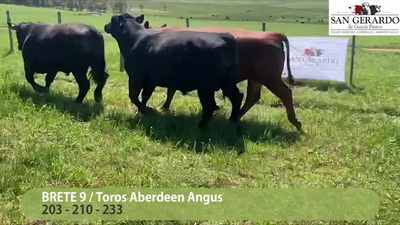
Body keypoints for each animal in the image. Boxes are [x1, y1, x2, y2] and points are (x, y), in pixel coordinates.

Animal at [104, 14, 244, 129]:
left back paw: (202, 124)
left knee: (210, 105)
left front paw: (146, 110)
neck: (135, 38)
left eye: (112, 20)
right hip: (227, 82)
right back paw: (232, 120)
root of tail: (225, 36)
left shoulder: (136, 77)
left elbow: (133, 96)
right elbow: (145, 95)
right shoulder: (151, 80)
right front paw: (143, 111)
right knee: (237, 96)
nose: (106, 25)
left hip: (206, 87)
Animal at [142, 21, 302, 131]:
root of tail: (272, 34)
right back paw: (235, 117)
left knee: (285, 93)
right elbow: (171, 91)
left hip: (269, 77)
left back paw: (295, 122)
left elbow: (170, 90)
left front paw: (164, 107)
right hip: (256, 78)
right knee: (252, 96)